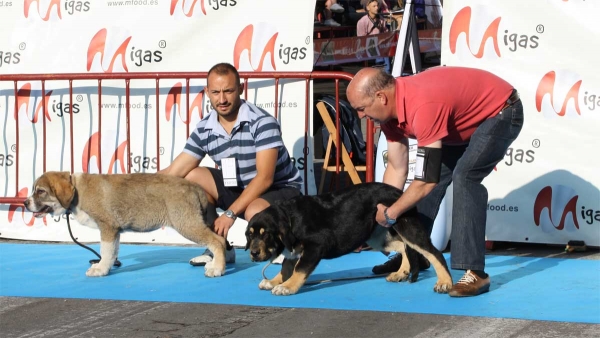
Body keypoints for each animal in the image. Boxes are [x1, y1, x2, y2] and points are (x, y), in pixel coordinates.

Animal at [244, 182, 450, 296]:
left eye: (266, 234)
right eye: (250, 234)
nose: (253, 253)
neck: (290, 217)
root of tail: (401, 193)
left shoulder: (316, 246)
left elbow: (299, 270)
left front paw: (287, 287)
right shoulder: (294, 250)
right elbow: (286, 268)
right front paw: (274, 281)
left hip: (405, 225)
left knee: (433, 252)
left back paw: (444, 283)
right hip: (376, 235)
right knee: (402, 246)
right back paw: (401, 272)